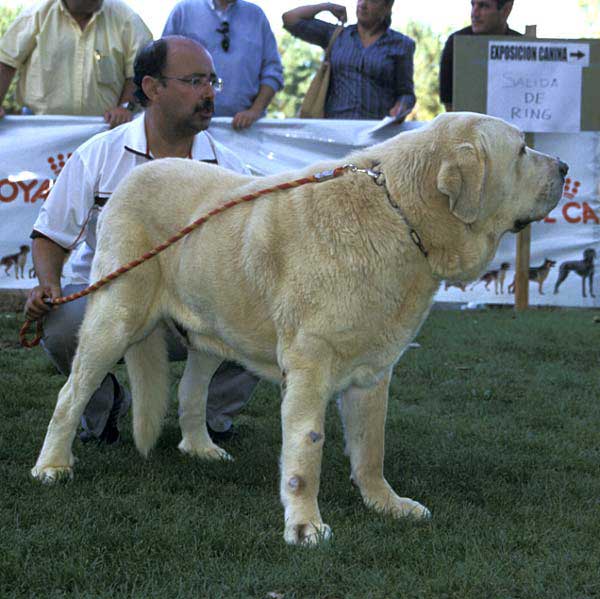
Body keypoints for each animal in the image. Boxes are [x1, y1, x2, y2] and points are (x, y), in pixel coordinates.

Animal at [31, 112, 568, 544]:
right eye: (522, 150)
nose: (564, 167)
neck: (401, 213)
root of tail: (139, 171)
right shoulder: (311, 367)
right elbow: (307, 452)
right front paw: (305, 526)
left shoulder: (374, 372)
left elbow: (371, 449)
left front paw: (385, 504)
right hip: (115, 318)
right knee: (70, 393)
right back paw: (52, 466)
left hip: (212, 333)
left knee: (190, 390)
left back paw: (201, 448)